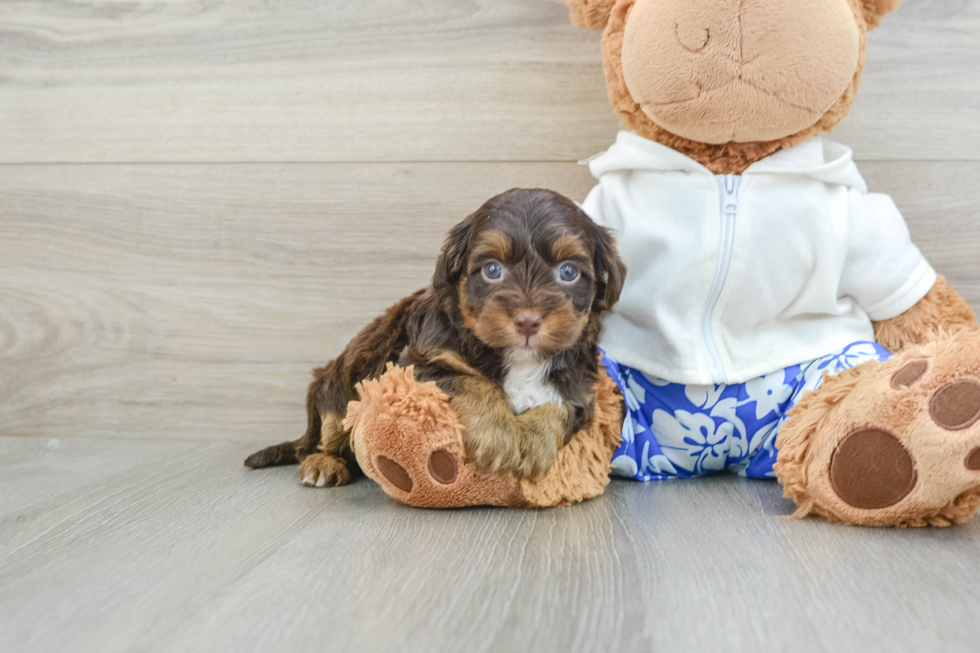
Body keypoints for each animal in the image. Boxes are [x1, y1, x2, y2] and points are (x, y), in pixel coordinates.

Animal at [245, 187, 628, 484]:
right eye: (492, 270)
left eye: (568, 272)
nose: (528, 321)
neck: (518, 359)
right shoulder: (418, 364)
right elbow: (472, 382)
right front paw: (501, 437)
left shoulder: (582, 385)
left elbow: (559, 403)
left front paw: (533, 442)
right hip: (336, 390)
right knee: (321, 437)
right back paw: (323, 464)